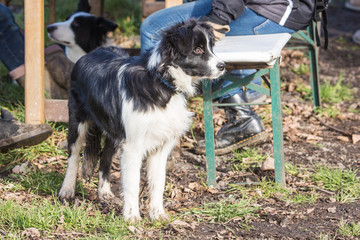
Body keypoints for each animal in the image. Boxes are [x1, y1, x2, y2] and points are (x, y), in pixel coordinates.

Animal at [58, 18, 226, 221]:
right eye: (198, 49)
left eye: (210, 47)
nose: (223, 66)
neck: (161, 83)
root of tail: (90, 53)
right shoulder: (133, 146)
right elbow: (132, 183)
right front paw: (131, 217)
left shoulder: (160, 145)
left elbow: (158, 183)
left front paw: (157, 214)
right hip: (78, 121)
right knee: (73, 156)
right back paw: (67, 190)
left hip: (113, 133)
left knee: (105, 159)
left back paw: (104, 192)